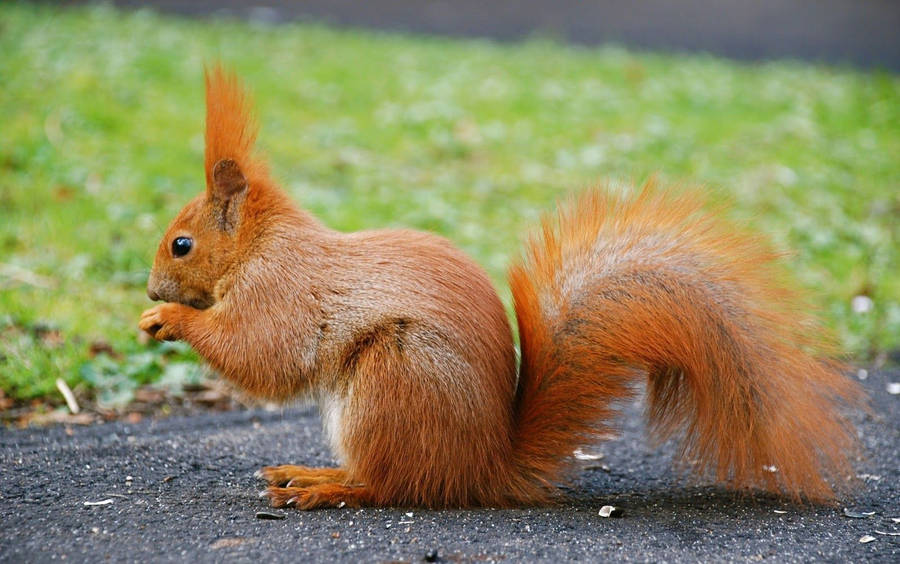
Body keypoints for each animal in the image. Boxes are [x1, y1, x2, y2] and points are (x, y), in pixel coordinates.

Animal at [139, 66, 863, 510]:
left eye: (182, 244)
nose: (149, 291)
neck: (260, 246)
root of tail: (484, 467)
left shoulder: (280, 291)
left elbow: (263, 354)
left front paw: (172, 321)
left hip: (393, 379)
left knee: (392, 485)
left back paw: (324, 486)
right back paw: (309, 472)